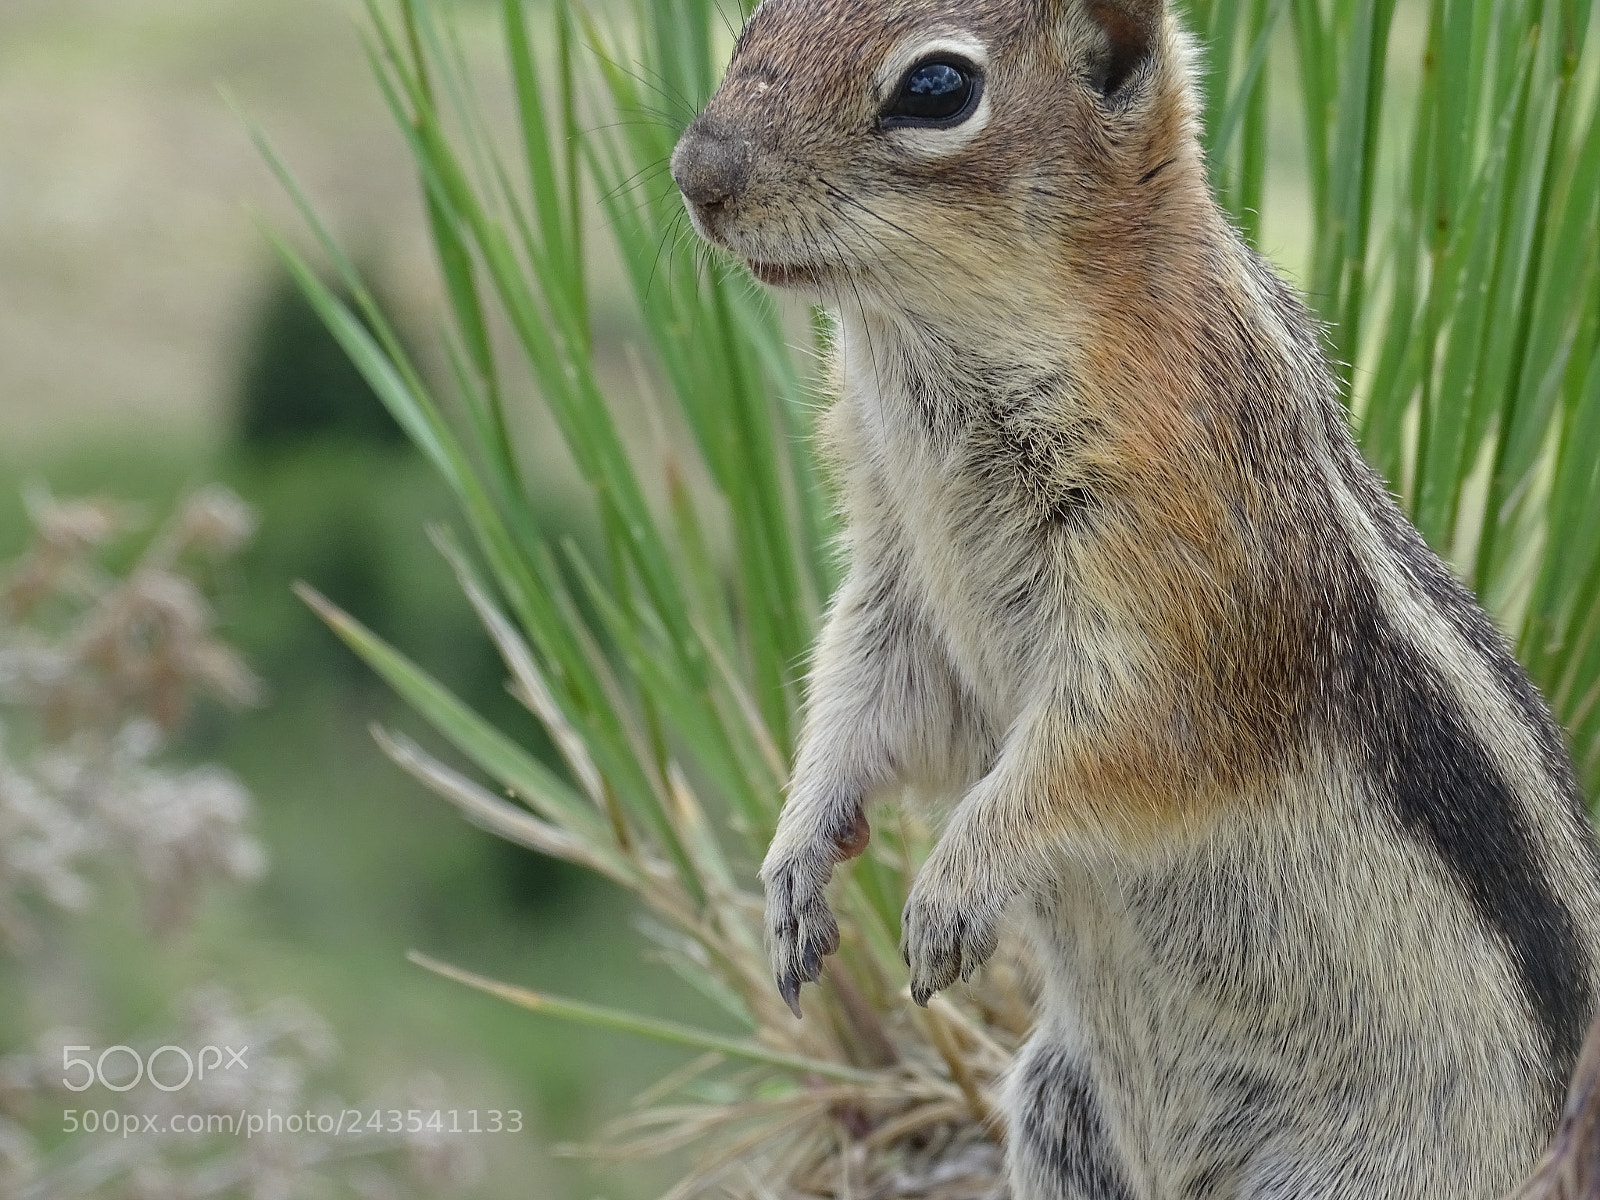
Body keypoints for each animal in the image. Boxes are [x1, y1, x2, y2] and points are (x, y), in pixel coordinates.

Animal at [670, 0, 1600, 1196]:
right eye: (751, 25)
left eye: (936, 88)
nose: (696, 173)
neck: (928, 352)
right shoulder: (898, 580)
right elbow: (870, 697)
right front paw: (796, 859)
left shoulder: (1187, 593)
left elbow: (1112, 749)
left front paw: (952, 886)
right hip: (1062, 1111)